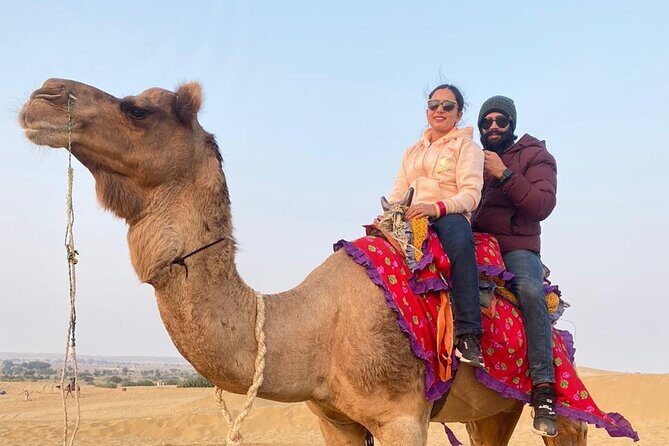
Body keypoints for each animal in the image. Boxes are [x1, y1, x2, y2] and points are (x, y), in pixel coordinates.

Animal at [19, 78, 587, 445]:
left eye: (137, 109)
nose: (42, 95)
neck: (313, 327)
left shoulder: (403, 416)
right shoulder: (333, 419)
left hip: (557, 388)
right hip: (489, 407)